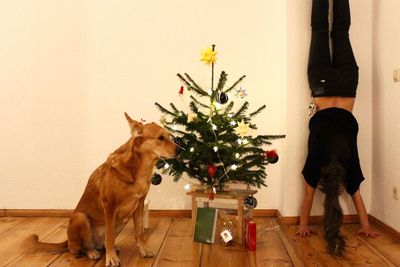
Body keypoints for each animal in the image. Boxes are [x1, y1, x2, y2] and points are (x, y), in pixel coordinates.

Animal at [25, 113, 175, 267]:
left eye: (170, 137)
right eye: (160, 138)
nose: (180, 150)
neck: (137, 170)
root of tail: (67, 241)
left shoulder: (139, 205)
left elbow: (140, 232)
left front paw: (143, 250)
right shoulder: (109, 207)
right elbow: (109, 237)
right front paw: (111, 258)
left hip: (118, 221)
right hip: (80, 217)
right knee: (82, 248)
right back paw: (92, 252)